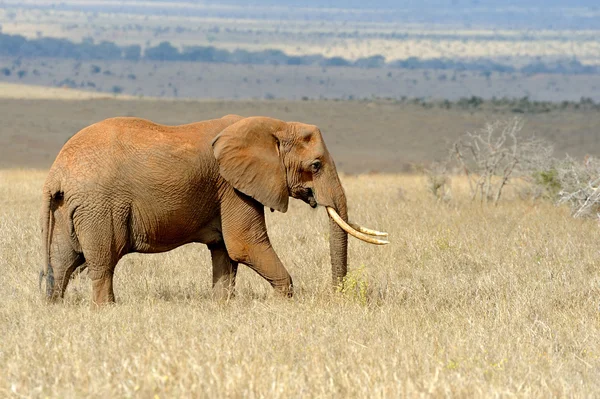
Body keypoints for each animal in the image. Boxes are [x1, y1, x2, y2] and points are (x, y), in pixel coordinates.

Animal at [42, 114, 390, 304]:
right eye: (315, 166)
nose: (338, 295)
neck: (274, 126)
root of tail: (56, 172)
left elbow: (225, 252)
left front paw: (222, 305)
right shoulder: (232, 186)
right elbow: (244, 245)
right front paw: (284, 302)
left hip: (69, 208)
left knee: (63, 261)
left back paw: (56, 306)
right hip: (99, 207)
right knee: (102, 263)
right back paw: (107, 309)